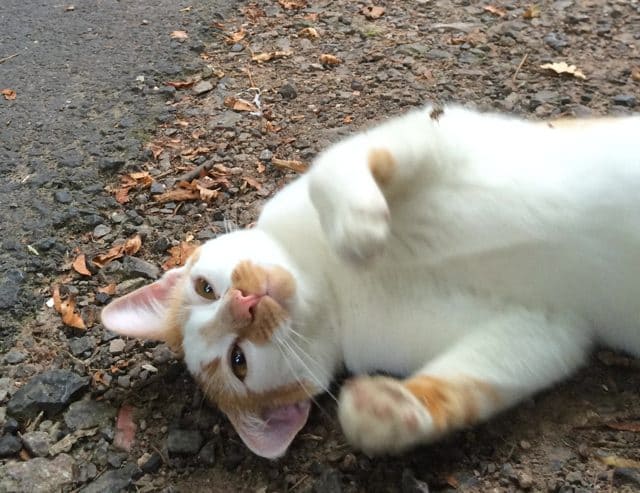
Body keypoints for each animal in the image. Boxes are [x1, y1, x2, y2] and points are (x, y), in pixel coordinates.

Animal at [100, 105, 640, 460]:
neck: (331, 283)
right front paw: (388, 412)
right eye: (239, 361)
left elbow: (331, 166)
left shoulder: (443, 133)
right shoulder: (544, 326)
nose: (245, 302)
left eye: (205, 289)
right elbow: (483, 375)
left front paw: (357, 227)